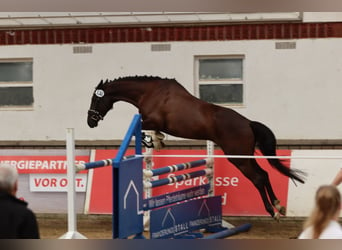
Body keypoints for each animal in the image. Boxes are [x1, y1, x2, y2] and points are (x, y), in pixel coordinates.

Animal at [87, 75, 306, 220]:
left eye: (96, 98)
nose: (90, 122)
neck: (149, 92)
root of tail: (248, 123)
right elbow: (153, 132)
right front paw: (157, 140)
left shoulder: (152, 120)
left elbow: (141, 128)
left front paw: (152, 140)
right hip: (244, 156)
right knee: (265, 174)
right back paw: (279, 206)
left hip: (238, 157)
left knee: (259, 178)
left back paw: (272, 211)